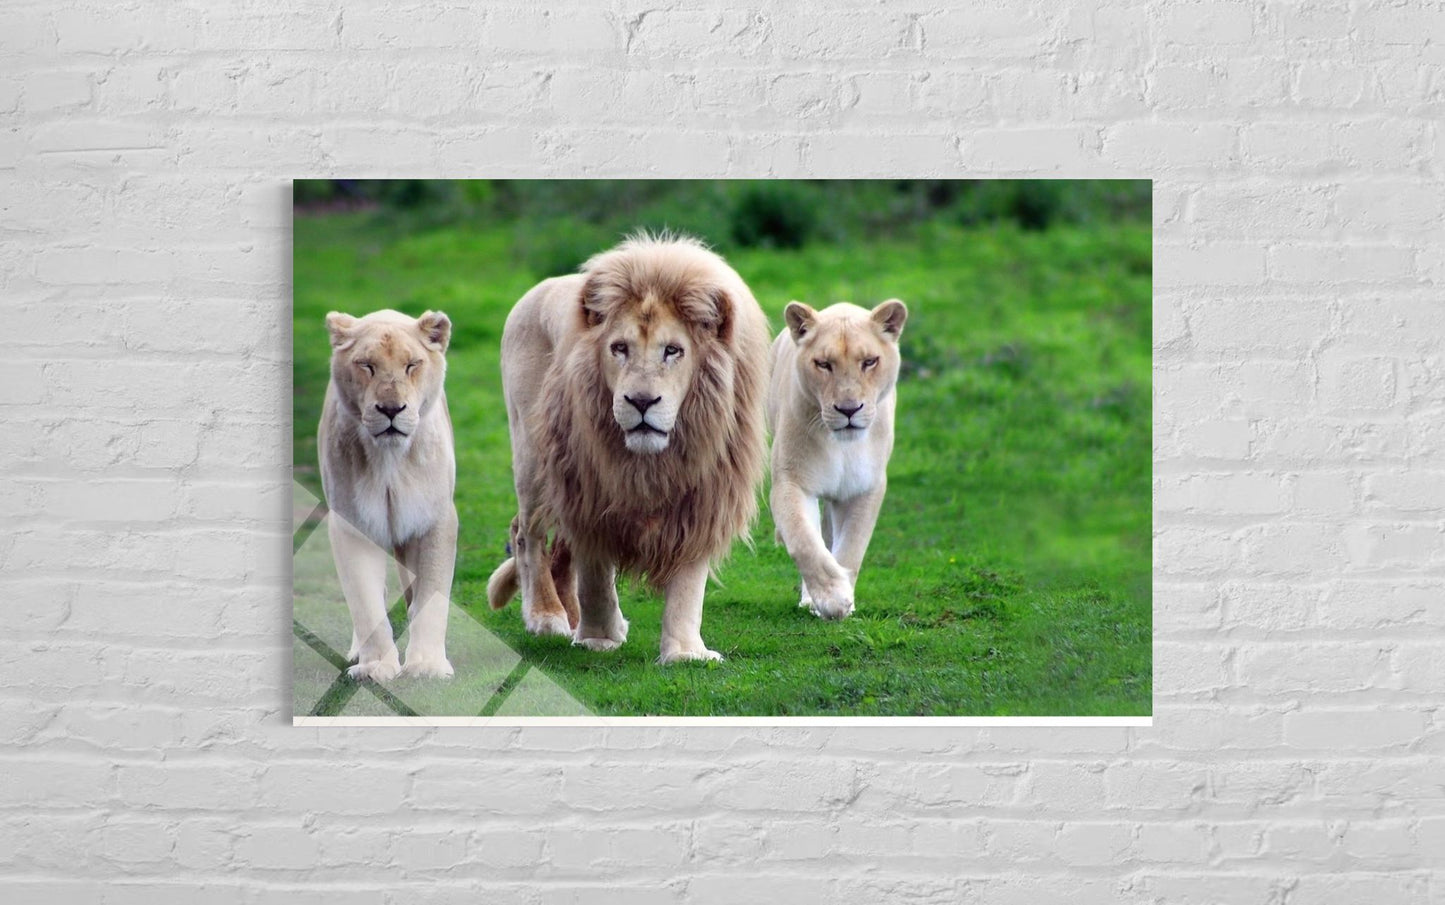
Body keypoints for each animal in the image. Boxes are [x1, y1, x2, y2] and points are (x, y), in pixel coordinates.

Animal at [318, 308, 458, 681]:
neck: (390, 460)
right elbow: (365, 601)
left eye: (412, 365)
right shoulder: (351, 525)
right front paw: (376, 667)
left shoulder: (435, 520)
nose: (392, 409)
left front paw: (427, 666)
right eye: (366, 365)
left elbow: (430, 596)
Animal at [485, 235, 770, 663]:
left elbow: (688, 585)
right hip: (534, 458)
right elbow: (595, 576)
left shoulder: (703, 499)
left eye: (673, 350)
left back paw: (573, 616)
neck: (651, 462)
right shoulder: (589, 493)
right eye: (619, 348)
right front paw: (598, 639)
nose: (641, 401)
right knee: (527, 535)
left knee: (559, 550)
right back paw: (547, 616)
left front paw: (685, 653)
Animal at [767, 299, 908, 620]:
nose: (849, 409)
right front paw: (832, 598)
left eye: (869, 361)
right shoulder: (791, 482)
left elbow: (852, 546)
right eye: (823, 364)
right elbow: (804, 541)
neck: (842, 446)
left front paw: (844, 599)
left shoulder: (865, 488)